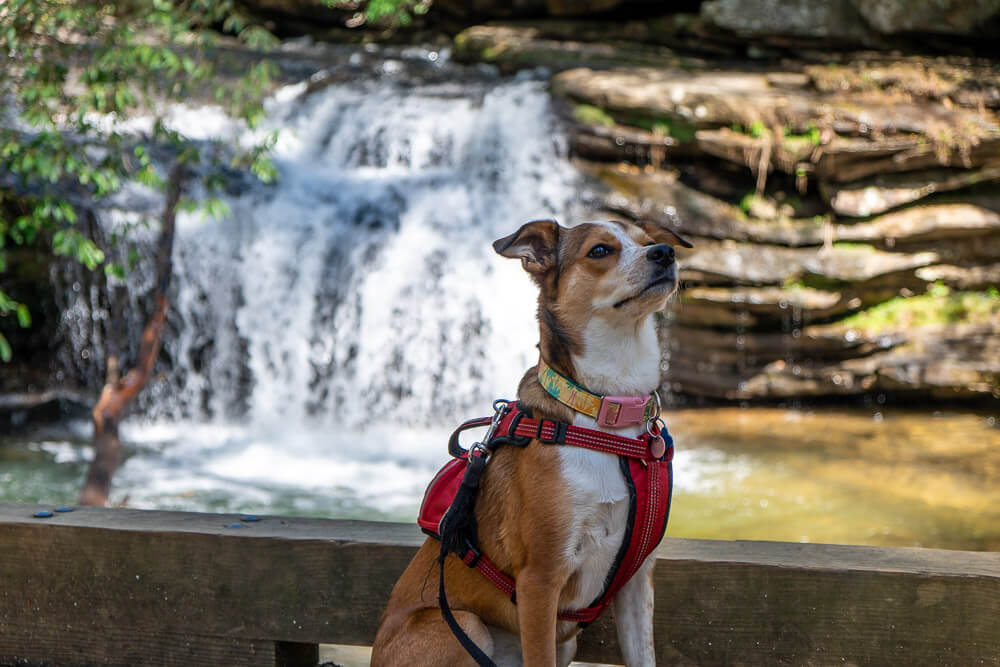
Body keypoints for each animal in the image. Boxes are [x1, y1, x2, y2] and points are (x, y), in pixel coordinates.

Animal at [372, 217, 692, 664]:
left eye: (648, 241)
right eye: (599, 250)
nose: (665, 253)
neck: (606, 414)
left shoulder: (636, 582)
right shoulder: (540, 580)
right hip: (463, 625)